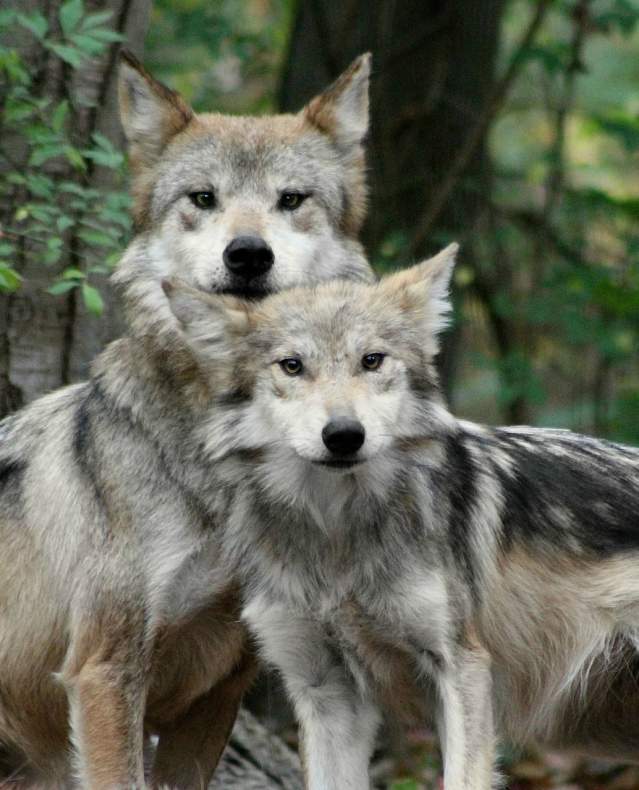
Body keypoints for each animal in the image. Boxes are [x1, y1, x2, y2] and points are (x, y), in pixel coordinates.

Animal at [165, 245, 639, 790]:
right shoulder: (325, 693)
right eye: (292, 366)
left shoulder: (461, 669)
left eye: (372, 360)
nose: (344, 435)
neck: (337, 536)